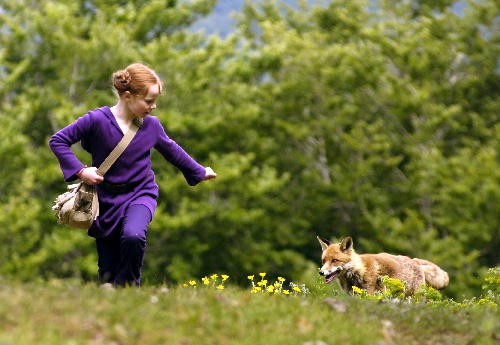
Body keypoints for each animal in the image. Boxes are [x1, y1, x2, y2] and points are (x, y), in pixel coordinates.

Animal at [318, 235, 452, 294]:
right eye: (324, 261)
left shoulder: (370, 294)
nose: (321, 272)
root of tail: (414, 260)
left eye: (334, 260)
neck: (358, 270)